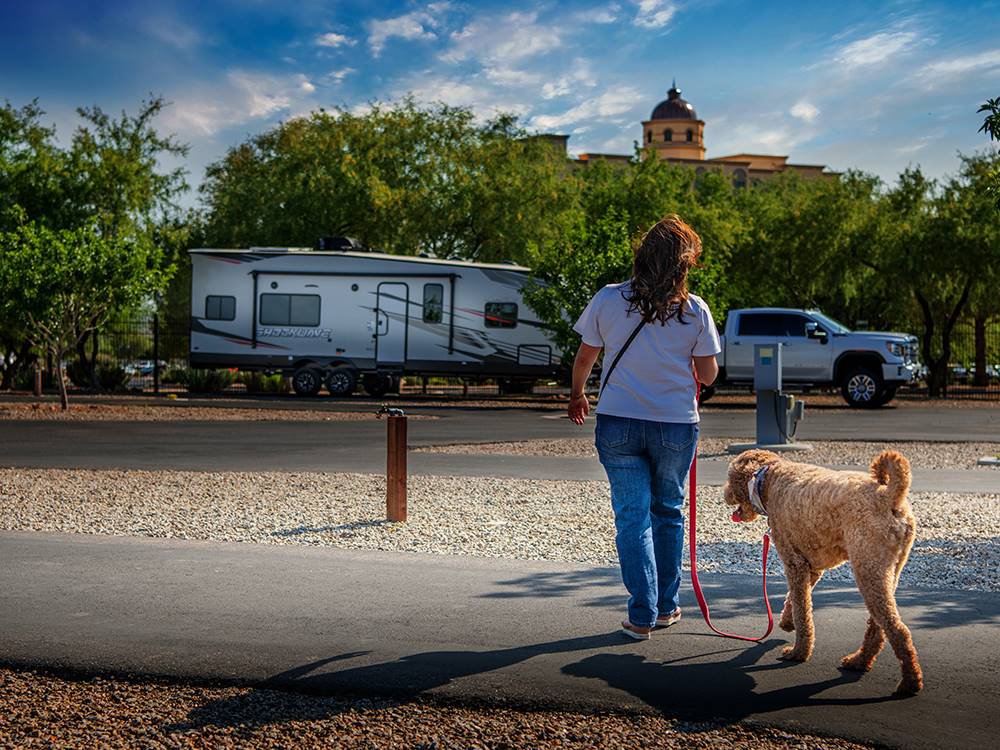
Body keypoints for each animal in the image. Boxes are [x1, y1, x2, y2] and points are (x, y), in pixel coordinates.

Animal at [720, 446, 920, 700]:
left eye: (730, 478)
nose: (724, 493)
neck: (768, 477)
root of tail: (889, 494)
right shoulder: (811, 566)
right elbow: (794, 601)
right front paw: (787, 622)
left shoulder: (794, 563)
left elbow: (802, 611)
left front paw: (798, 652)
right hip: (889, 571)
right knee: (878, 628)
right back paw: (859, 661)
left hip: (869, 570)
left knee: (898, 630)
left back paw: (909, 683)